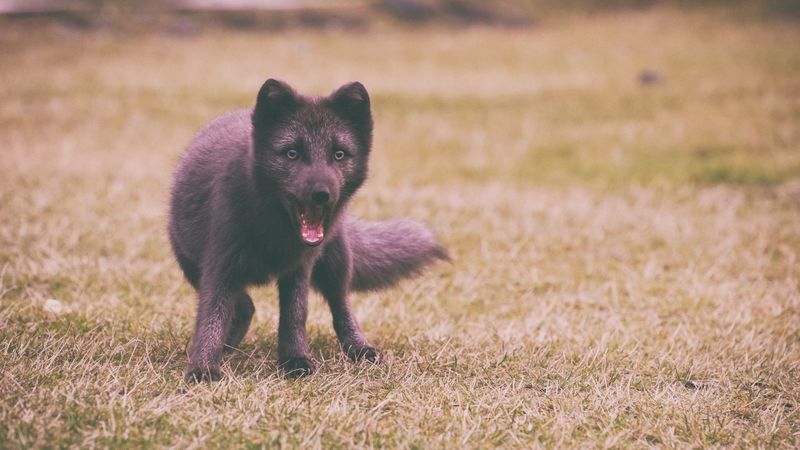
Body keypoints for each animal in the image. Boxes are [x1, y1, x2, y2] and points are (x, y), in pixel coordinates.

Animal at [168, 78, 448, 381]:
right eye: (292, 153)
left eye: (339, 154)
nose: (322, 195)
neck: (274, 231)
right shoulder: (220, 266)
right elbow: (212, 317)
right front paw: (203, 369)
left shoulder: (299, 268)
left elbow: (295, 315)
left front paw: (295, 360)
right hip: (192, 266)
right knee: (245, 306)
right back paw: (228, 346)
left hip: (336, 262)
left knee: (341, 306)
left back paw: (359, 349)